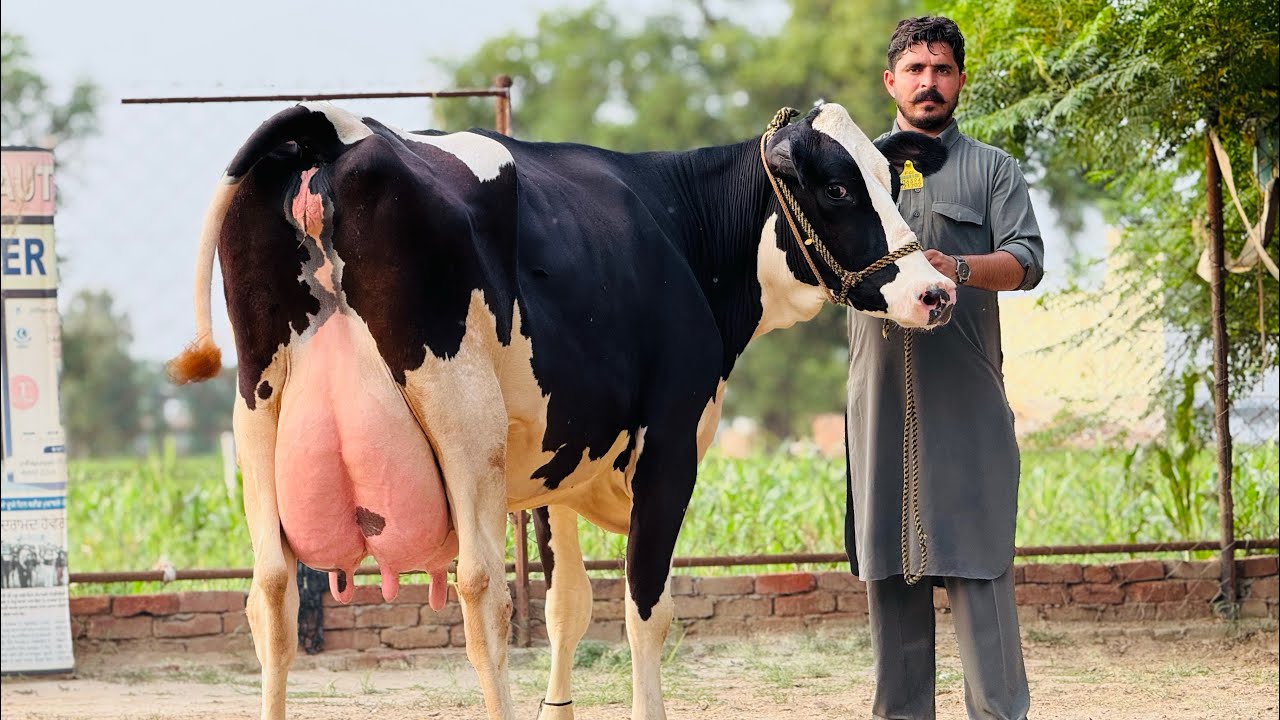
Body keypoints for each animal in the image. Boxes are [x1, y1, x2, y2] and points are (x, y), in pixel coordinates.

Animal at [168, 101, 952, 720]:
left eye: (890, 182)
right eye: (837, 188)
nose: (936, 291)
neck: (679, 227)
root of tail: (331, 128)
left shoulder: (559, 464)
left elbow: (566, 605)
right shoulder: (670, 443)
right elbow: (644, 606)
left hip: (257, 412)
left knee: (271, 592)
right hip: (464, 418)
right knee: (482, 592)